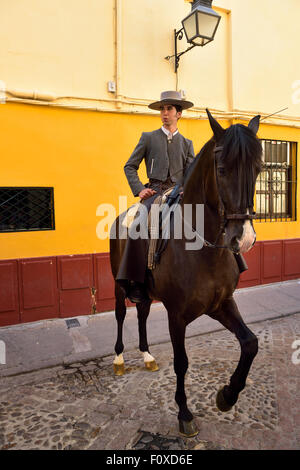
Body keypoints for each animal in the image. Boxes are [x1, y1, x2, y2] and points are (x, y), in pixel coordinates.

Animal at [110, 110, 262, 436]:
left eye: (258, 168)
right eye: (222, 169)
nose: (243, 238)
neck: (204, 248)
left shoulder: (220, 304)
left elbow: (250, 343)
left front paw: (227, 396)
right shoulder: (176, 314)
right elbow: (181, 362)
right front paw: (184, 412)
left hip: (145, 291)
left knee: (141, 313)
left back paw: (147, 355)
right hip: (118, 284)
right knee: (120, 314)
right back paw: (119, 358)